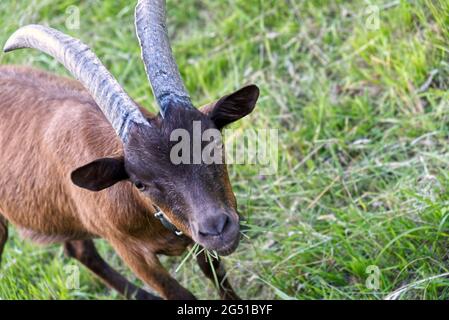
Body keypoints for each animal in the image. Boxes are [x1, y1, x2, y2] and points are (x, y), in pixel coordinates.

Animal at [0, 0, 260, 300]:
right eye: (139, 183)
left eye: (214, 145)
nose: (217, 228)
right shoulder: (129, 249)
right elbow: (178, 293)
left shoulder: (192, 233)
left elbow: (218, 277)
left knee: (78, 249)